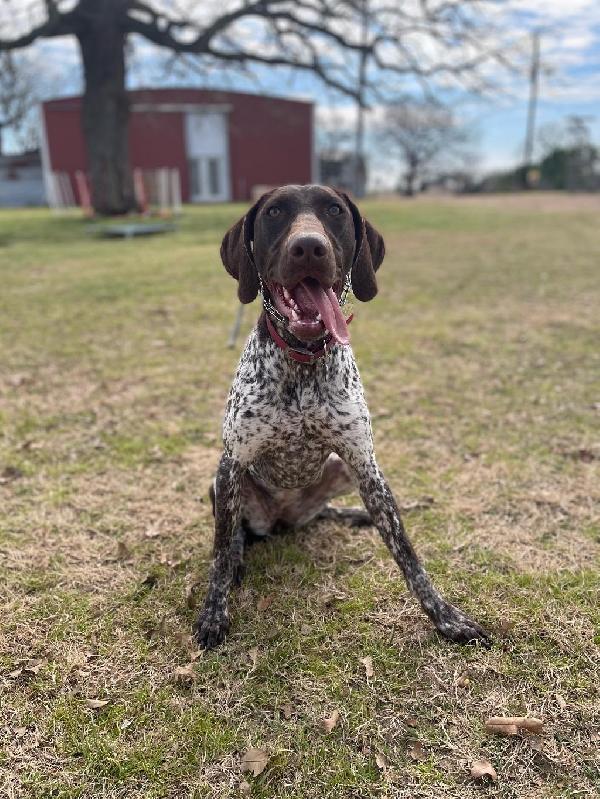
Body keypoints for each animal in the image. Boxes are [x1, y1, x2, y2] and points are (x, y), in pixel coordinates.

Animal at [195, 186, 490, 648]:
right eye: (274, 212)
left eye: (334, 210)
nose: (308, 247)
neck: (302, 362)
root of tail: (283, 519)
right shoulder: (233, 463)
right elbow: (221, 551)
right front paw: (214, 613)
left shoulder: (364, 463)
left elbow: (408, 553)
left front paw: (446, 618)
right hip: (222, 484)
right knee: (237, 534)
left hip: (338, 469)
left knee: (328, 513)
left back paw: (355, 516)